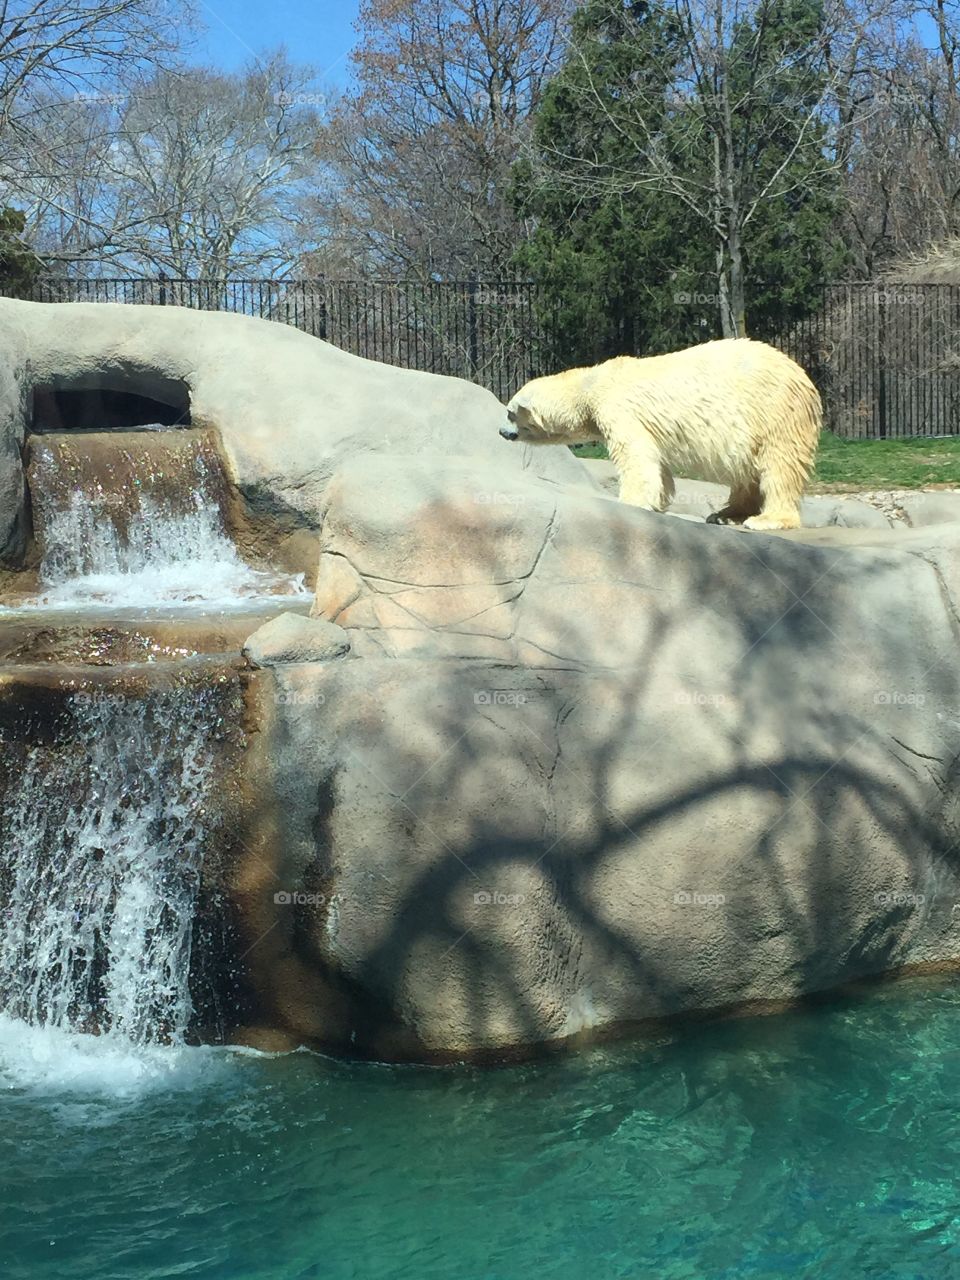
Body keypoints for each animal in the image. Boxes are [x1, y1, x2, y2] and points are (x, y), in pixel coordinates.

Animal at [499, 338, 822, 531]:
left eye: (510, 412)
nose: (502, 432)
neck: (593, 383)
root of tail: (804, 379)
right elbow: (658, 464)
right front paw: (659, 501)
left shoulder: (620, 409)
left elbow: (635, 455)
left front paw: (629, 502)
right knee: (746, 472)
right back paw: (726, 514)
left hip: (775, 413)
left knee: (778, 465)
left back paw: (766, 519)